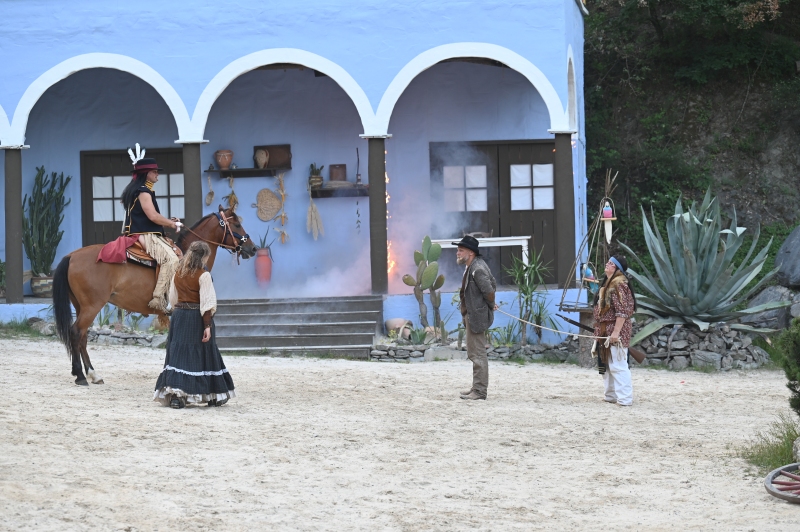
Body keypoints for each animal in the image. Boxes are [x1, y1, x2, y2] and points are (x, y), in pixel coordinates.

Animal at [52, 206, 257, 386]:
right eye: (237, 224)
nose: (253, 248)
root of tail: (71, 256)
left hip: (81, 306)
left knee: (82, 337)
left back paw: (93, 374)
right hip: (92, 306)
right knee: (76, 332)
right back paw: (81, 375)